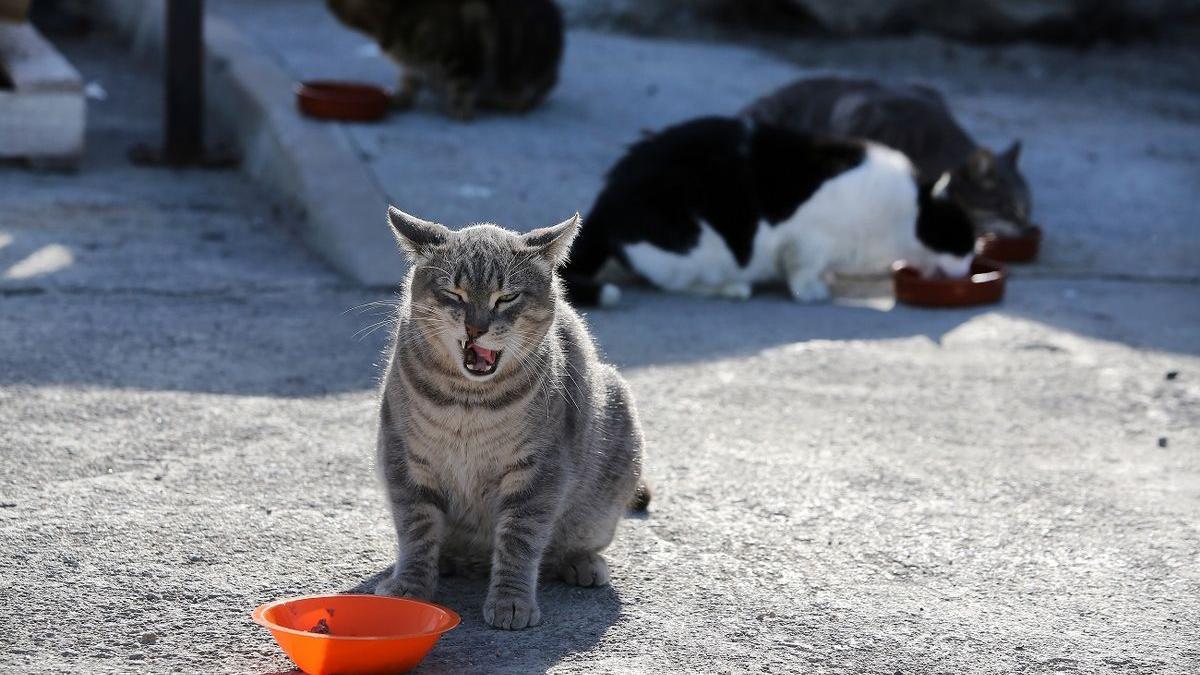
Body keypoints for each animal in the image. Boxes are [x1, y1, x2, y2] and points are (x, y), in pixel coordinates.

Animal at [326, 0, 564, 119]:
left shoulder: (467, 46)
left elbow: (463, 82)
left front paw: (459, 109)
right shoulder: (412, 65)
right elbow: (409, 77)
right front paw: (401, 96)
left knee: (522, 98)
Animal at [372, 206, 648, 629]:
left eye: (507, 297)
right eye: (454, 294)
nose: (475, 328)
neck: (467, 403)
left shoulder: (540, 471)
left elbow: (520, 541)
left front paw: (511, 602)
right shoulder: (405, 458)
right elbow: (416, 529)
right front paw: (410, 587)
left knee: (566, 546)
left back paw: (582, 563)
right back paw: (447, 561)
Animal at [561, 116, 974, 305]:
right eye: (963, 244)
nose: (969, 267)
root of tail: (606, 196)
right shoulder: (809, 234)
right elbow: (802, 267)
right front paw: (812, 290)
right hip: (698, 243)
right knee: (678, 281)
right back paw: (732, 287)